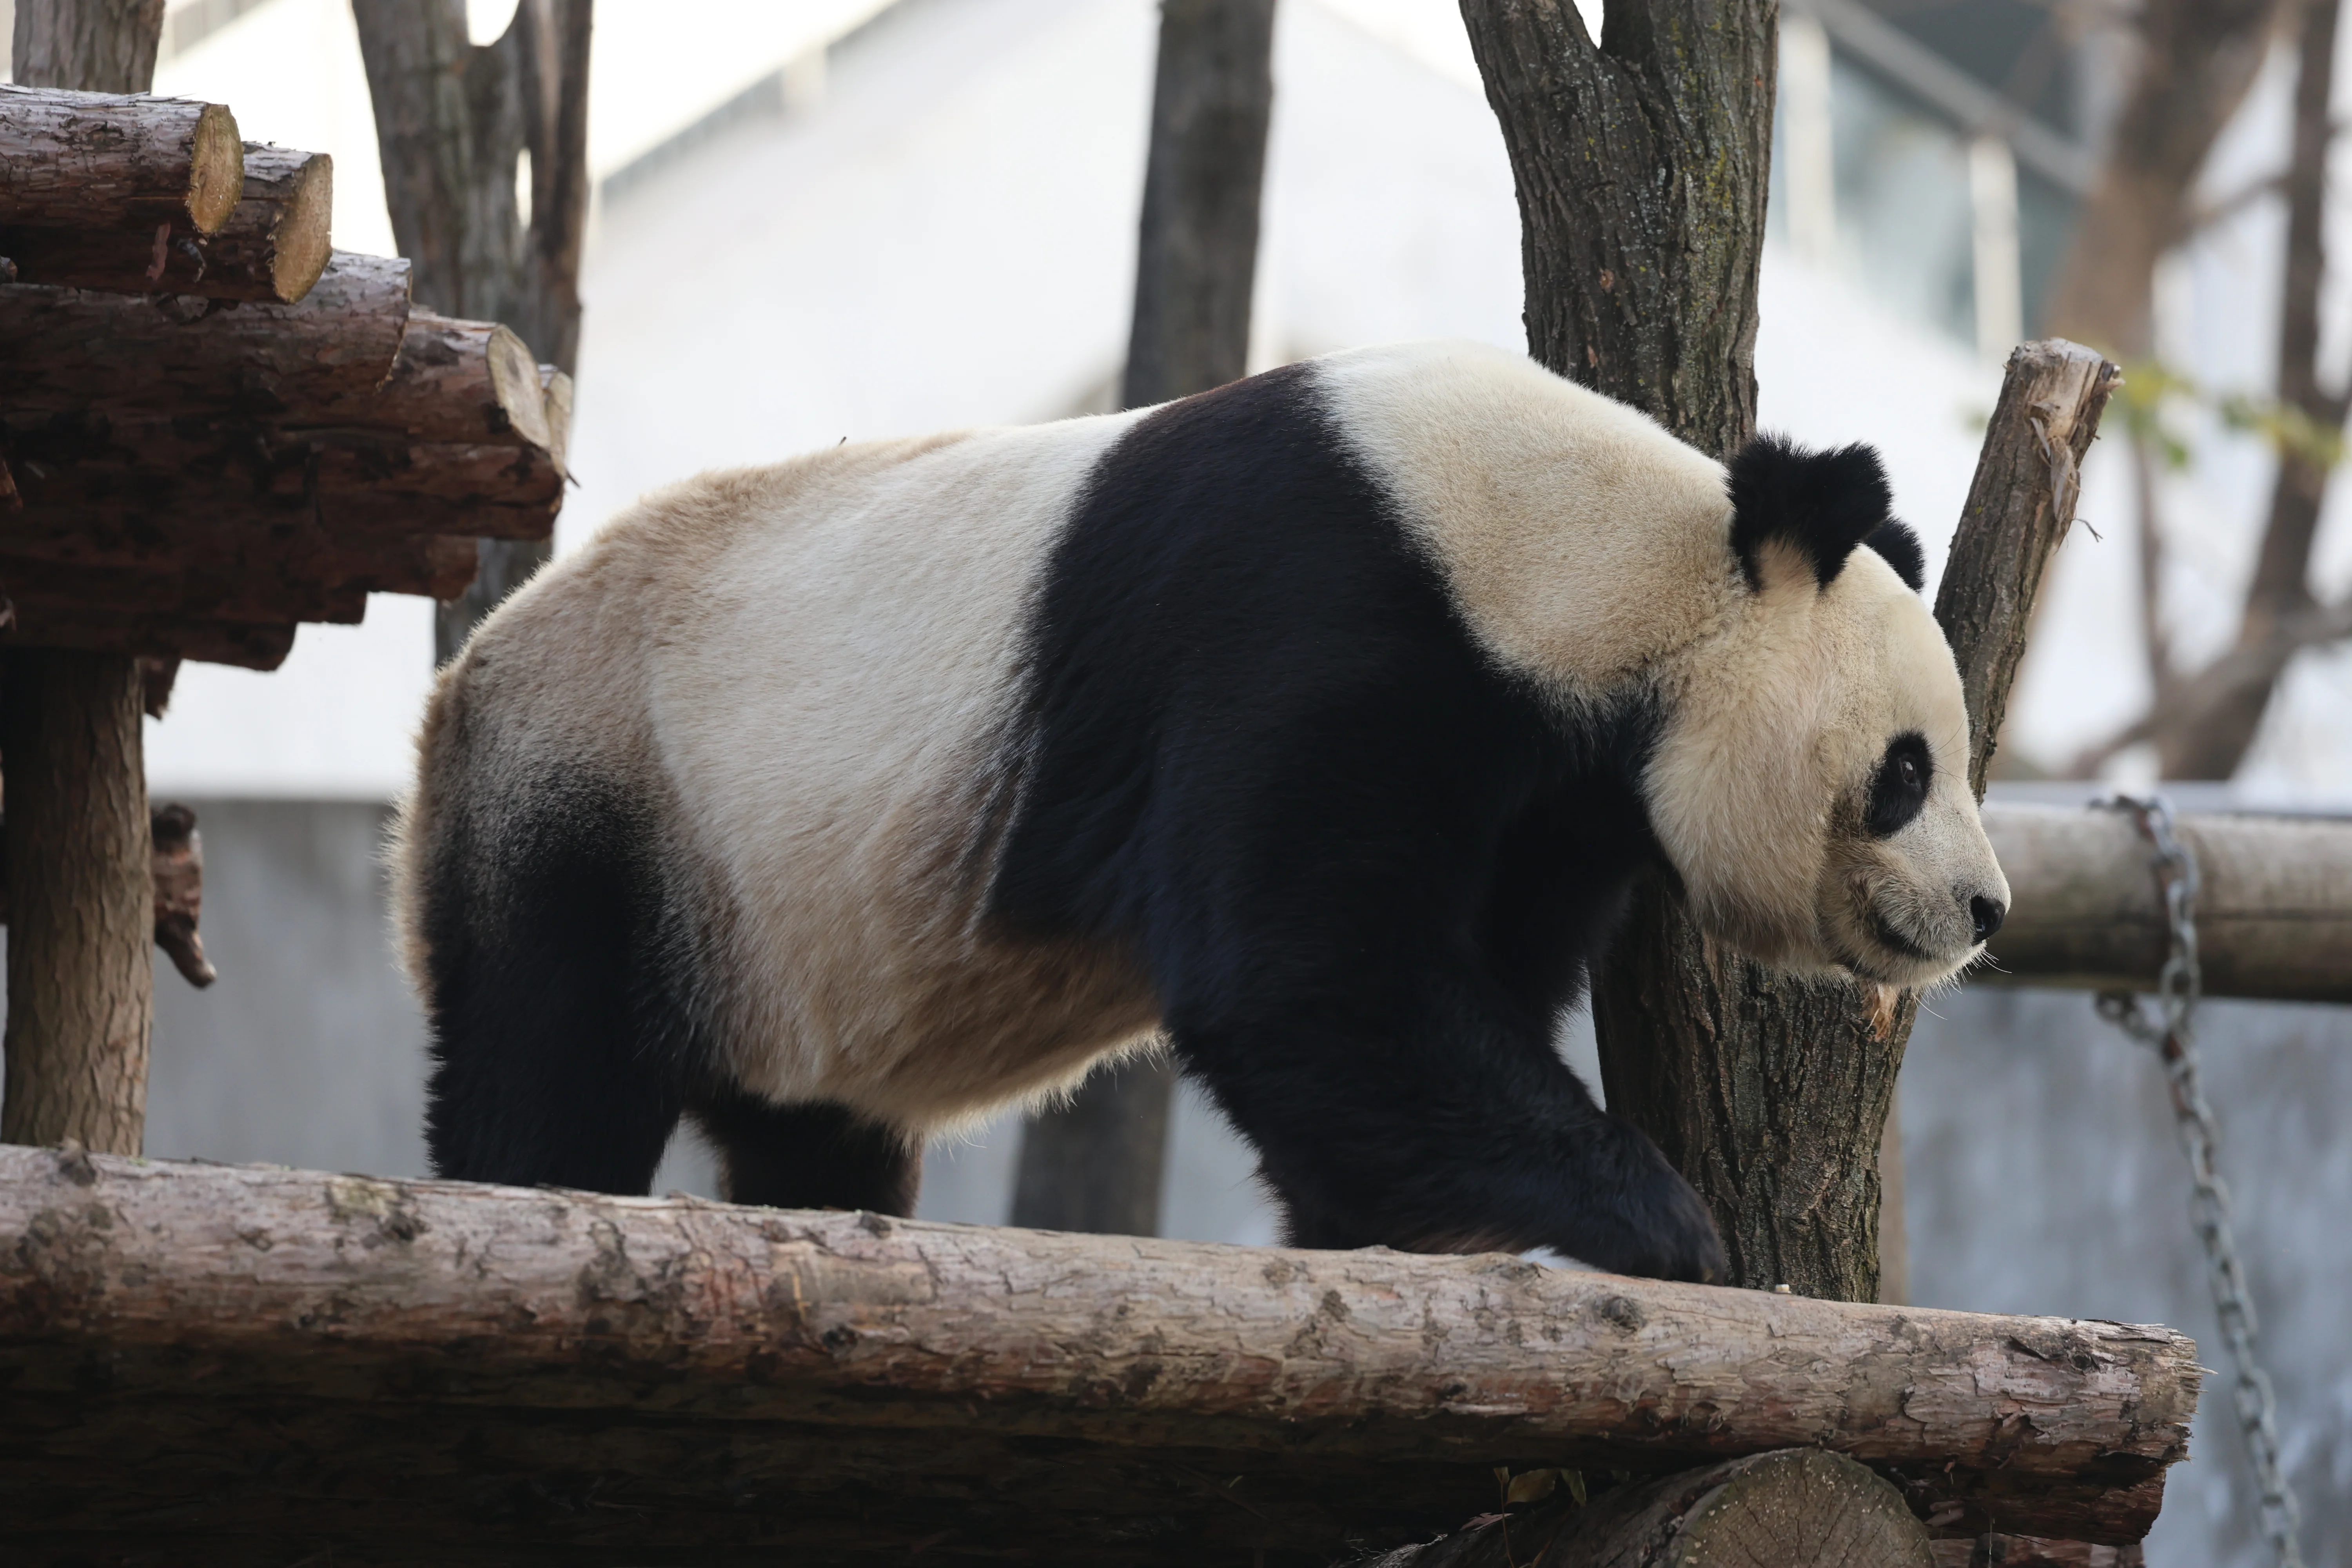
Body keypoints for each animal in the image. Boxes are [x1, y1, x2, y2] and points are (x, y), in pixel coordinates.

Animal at [392, 339, 2008, 1285]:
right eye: (1907, 769)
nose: (1984, 910)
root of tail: (459, 685)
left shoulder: (1549, 778)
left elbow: (1434, 999)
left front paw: (1404, 1229)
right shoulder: (1326, 610)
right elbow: (1303, 978)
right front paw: (1672, 1229)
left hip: (764, 916)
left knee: (810, 1126)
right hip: (608, 790)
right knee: (553, 1056)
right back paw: (524, 1182)